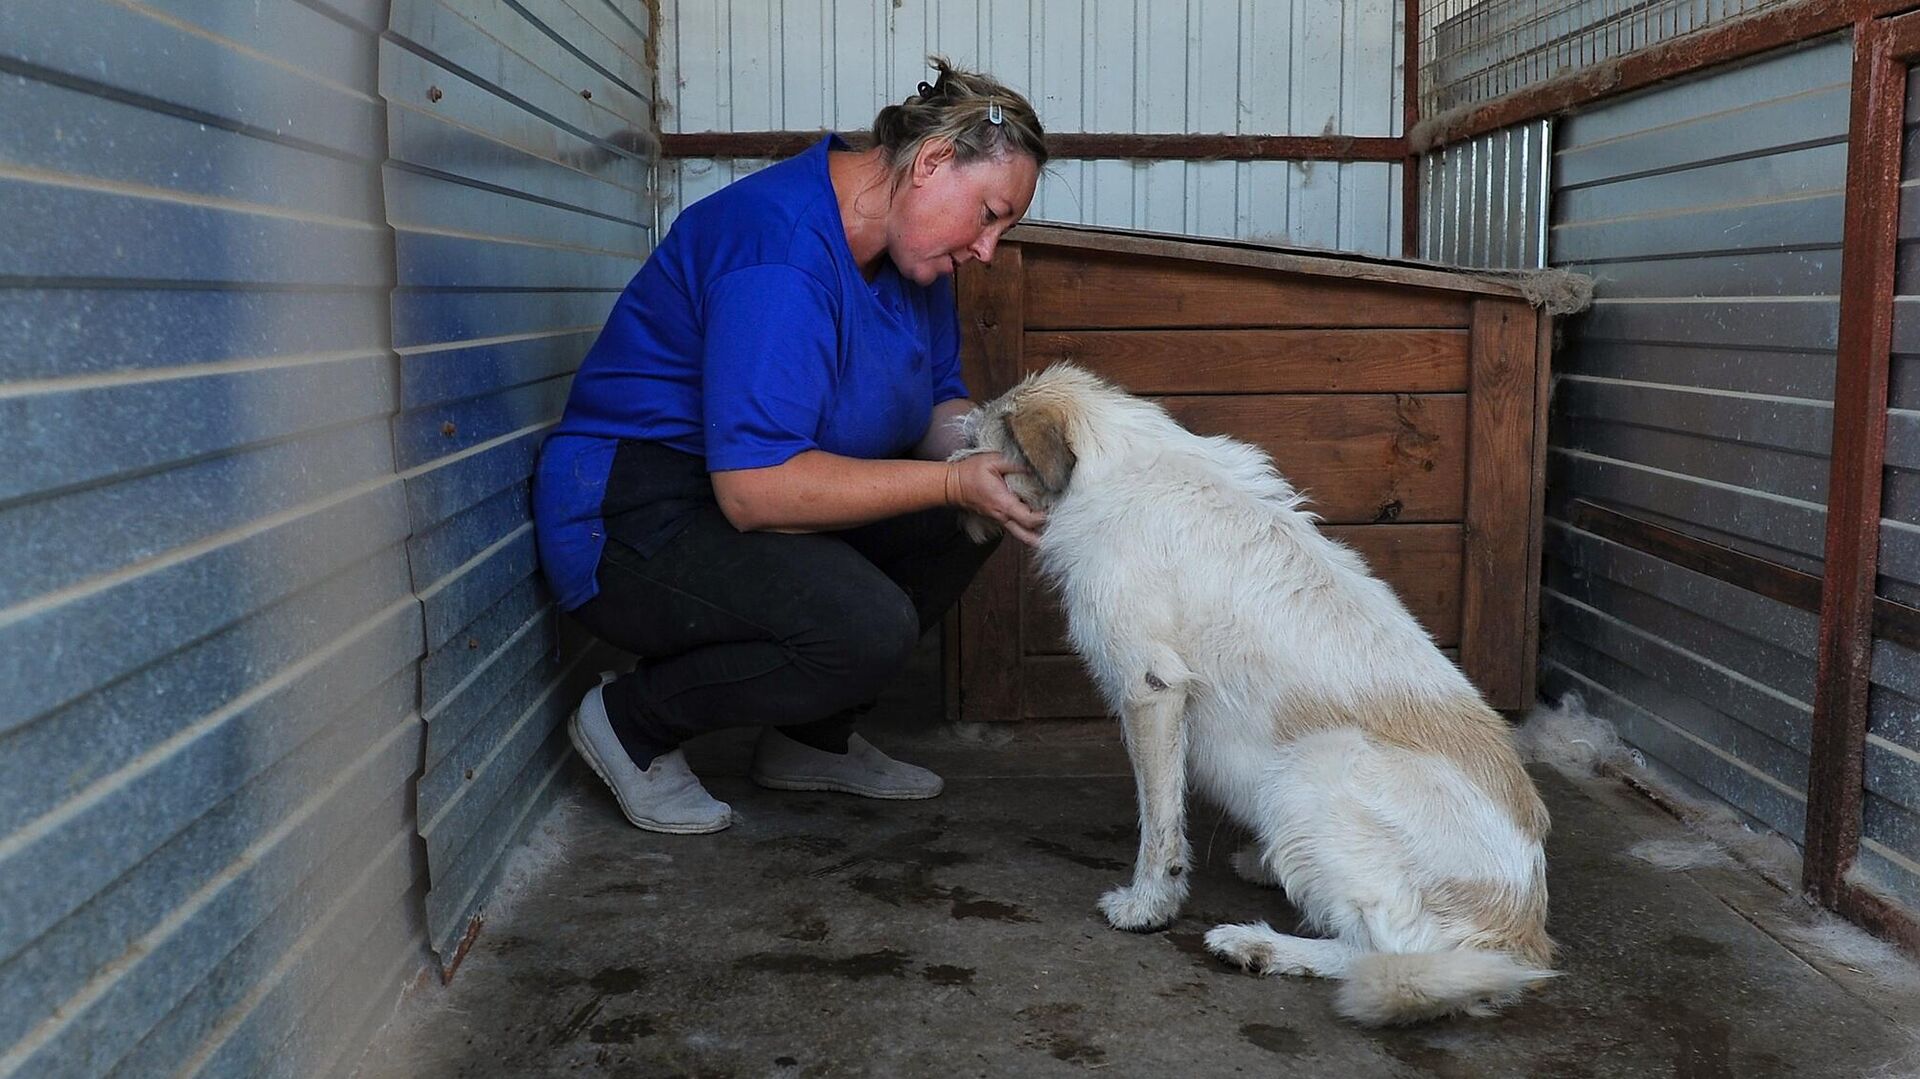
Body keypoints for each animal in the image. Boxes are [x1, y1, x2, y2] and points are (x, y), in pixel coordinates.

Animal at [952, 364, 1551, 1021]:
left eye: (977, 440)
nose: (949, 468)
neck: (1114, 465)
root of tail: (1519, 937)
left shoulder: (1150, 687)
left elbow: (1159, 822)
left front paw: (1148, 907)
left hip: (1313, 768)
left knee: (1390, 954)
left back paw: (1257, 946)